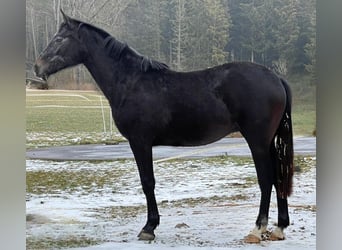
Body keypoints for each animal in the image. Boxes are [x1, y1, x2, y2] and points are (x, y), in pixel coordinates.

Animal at [33, 10, 292, 243]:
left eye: (59, 39)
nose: (37, 67)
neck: (131, 81)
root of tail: (276, 78)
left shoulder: (140, 142)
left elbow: (148, 182)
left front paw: (149, 227)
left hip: (257, 141)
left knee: (266, 178)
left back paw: (257, 229)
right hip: (268, 142)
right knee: (277, 177)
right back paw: (279, 228)